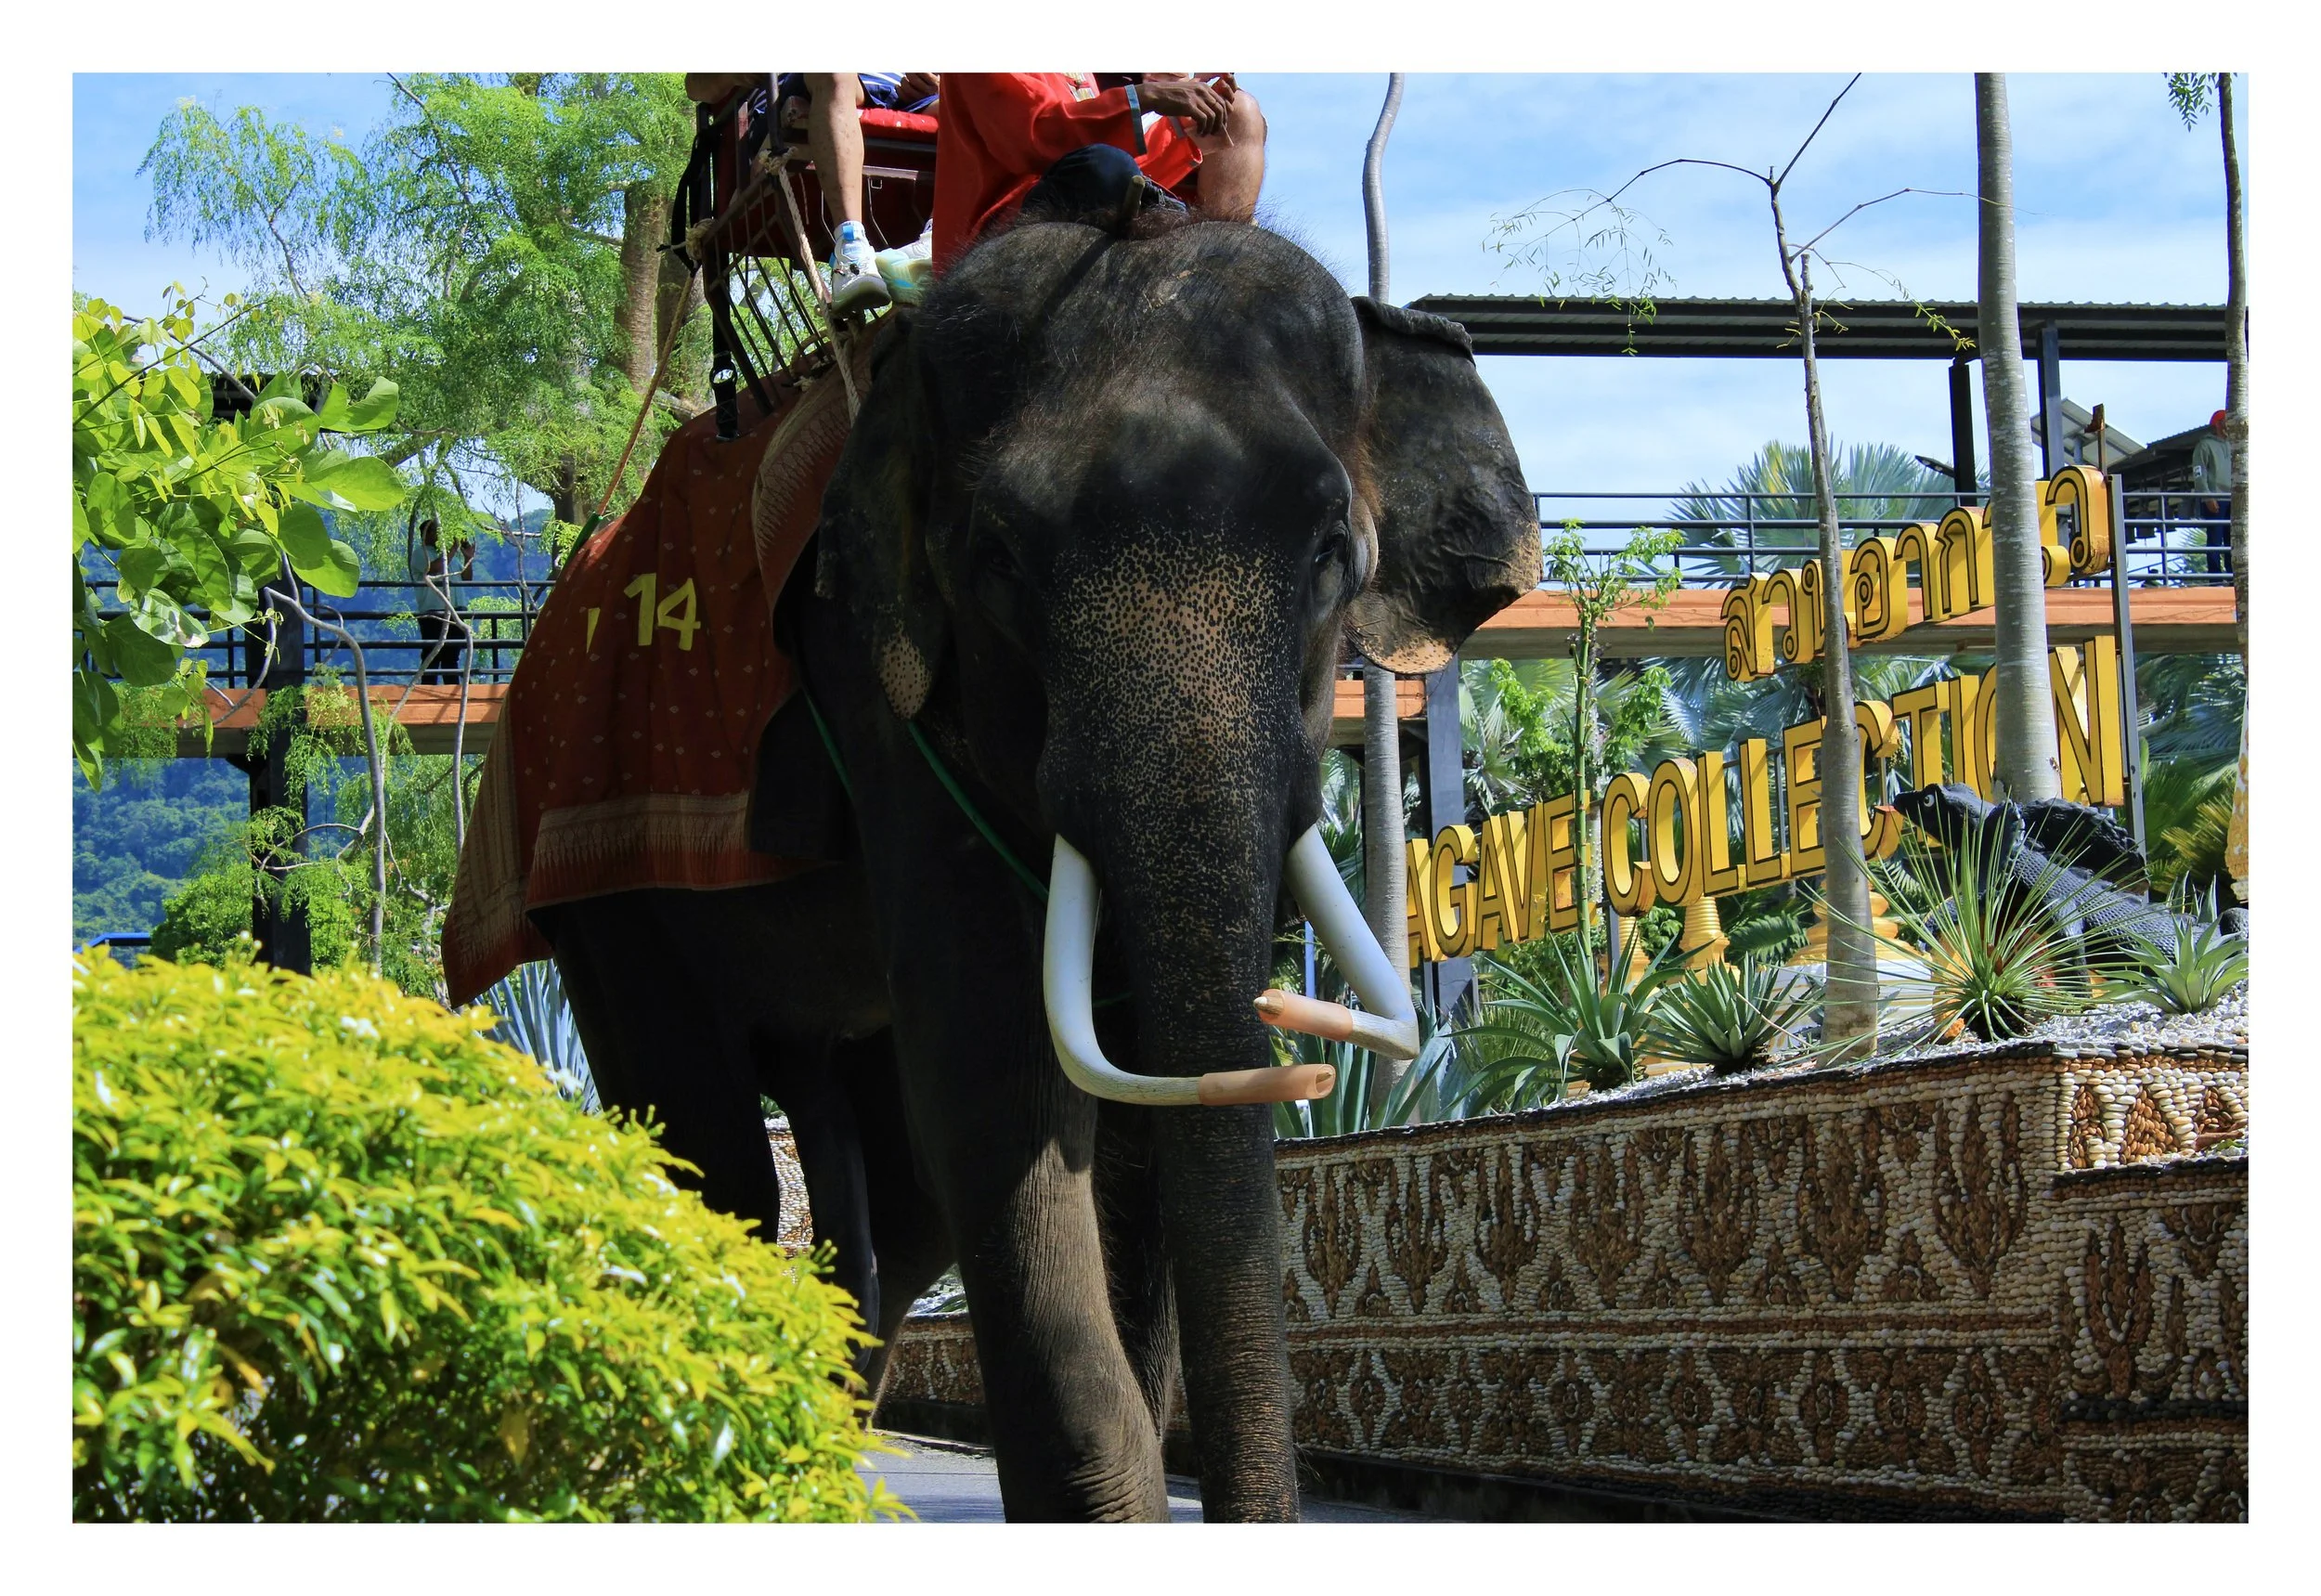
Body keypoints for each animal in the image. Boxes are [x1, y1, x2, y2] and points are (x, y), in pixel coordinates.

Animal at [533, 212, 1538, 1520]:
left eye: (1332, 553)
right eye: (999, 560)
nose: (1308, 1066)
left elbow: (1132, 1109)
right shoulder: (878, 696)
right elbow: (997, 1079)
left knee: (893, 1203)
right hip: (604, 901)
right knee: (719, 1166)